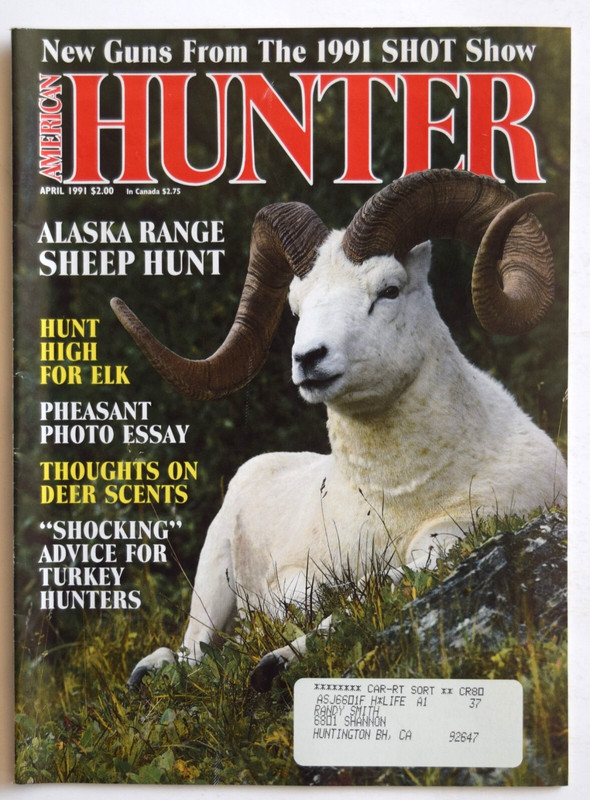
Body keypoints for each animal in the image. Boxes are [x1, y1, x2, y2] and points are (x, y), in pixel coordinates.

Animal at [111, 169, 567, 691]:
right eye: (296, 307)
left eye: (389, 290)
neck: (399, 496)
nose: (308, 359)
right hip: (211, 578)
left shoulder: (451, 538)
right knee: (193, 651)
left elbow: (372, 591)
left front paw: (275, 662)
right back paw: (147, 673)